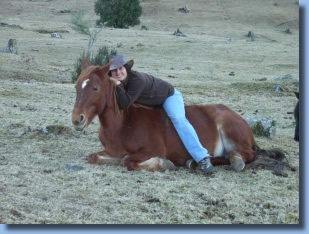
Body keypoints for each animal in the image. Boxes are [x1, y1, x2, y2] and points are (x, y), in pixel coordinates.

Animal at [70, 60, 294, 176]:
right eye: (77, 86)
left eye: (95, 88)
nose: (76, 119)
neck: (123, 124)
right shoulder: (110, 150)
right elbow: (94, 157)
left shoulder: (152, 149)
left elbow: (129, 161)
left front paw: (163, 164)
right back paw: (195, 163)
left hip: (232, 133)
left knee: (249, 155)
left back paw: (231, 161)